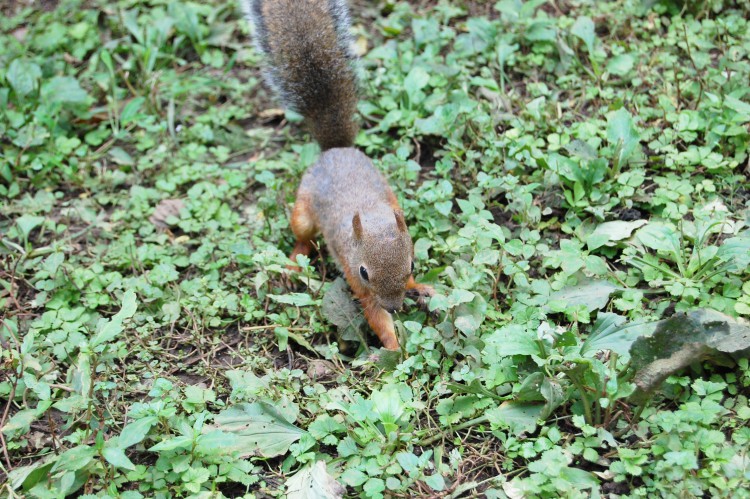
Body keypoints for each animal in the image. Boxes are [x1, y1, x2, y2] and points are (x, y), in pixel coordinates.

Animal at [245, 0, 434, 352]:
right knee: (303, 236)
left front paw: (422, 287)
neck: (372, 219)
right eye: (363, 272)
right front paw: (393, 347)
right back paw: (294, 261)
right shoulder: (351, 272)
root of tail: (336, 151)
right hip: (304, 212)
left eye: (412, 264)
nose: (395, 307)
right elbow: (374, 315)